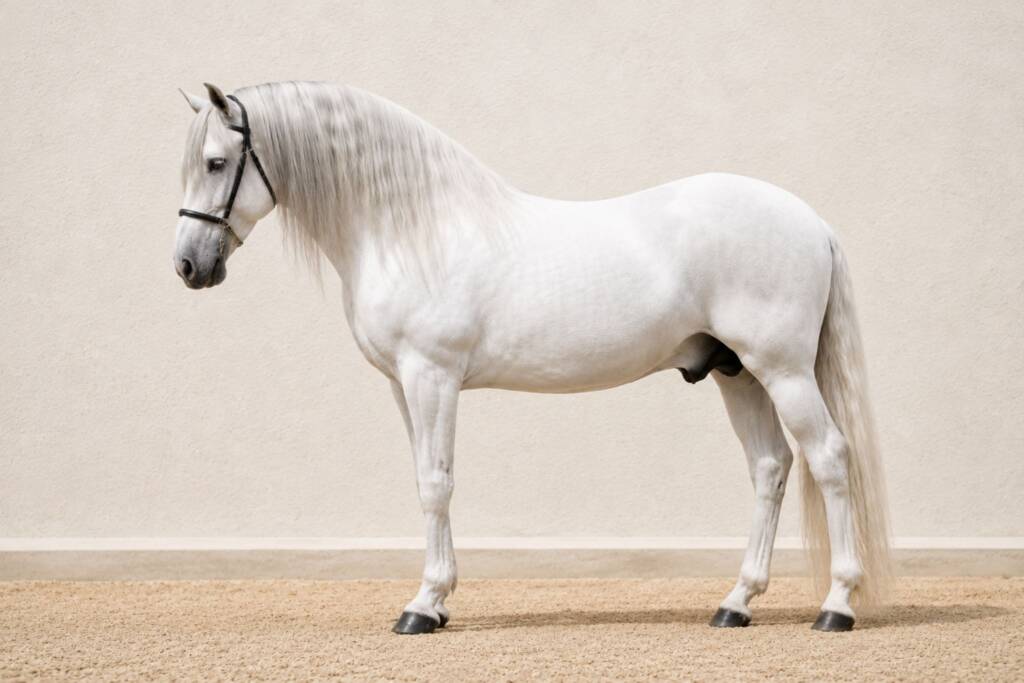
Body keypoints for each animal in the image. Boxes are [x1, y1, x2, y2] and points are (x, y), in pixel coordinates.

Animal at [173, 80, 891, 634]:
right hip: (736, 373)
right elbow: (424, 478)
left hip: (784, 370)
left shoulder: (432, 375)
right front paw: (438, 601)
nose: (188, 266)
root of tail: (811, 222)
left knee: (829, 458)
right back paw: (736, 603)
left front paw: (423, 605)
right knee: (770, 468)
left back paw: (836, 605)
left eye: (215, 163)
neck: (412, 228)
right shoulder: (403, 384)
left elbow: (436, 484)